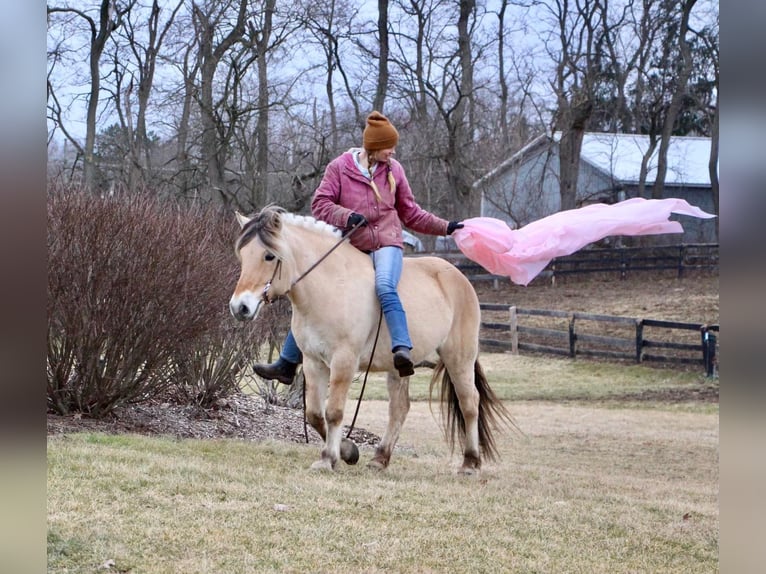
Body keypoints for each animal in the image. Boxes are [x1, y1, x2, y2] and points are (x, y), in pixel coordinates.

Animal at [231, 207, 512, 476]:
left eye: (269, 256)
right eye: (242, 255)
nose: (239, 307)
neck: (332, 285)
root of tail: (458, 277)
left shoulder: (344, 361)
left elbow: (334, 412)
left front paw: (329, 458)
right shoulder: (313, 362)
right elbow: (314, 414)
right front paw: (347, 450)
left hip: (459, 358)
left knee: (469, 404)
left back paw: (470, 463)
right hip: (400, 366)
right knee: (399, 408)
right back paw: (380, 458)